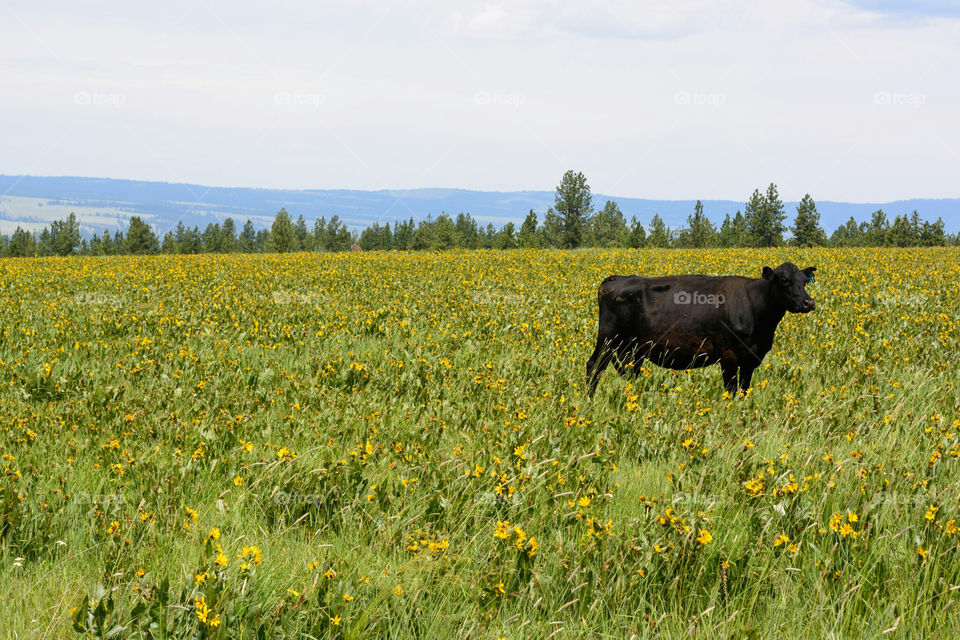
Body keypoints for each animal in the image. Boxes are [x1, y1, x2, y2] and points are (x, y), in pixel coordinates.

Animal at [584, 260, 816, 396]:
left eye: (805, 281)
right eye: (784, 281)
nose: (808, 303)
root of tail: (614, 279)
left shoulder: (751, 359)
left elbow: (743, 390)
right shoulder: (729, 355)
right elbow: (731, 390)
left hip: (632, 348)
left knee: (630, 372)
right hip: (608, 338)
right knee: (594, 366)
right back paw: (590, 400)